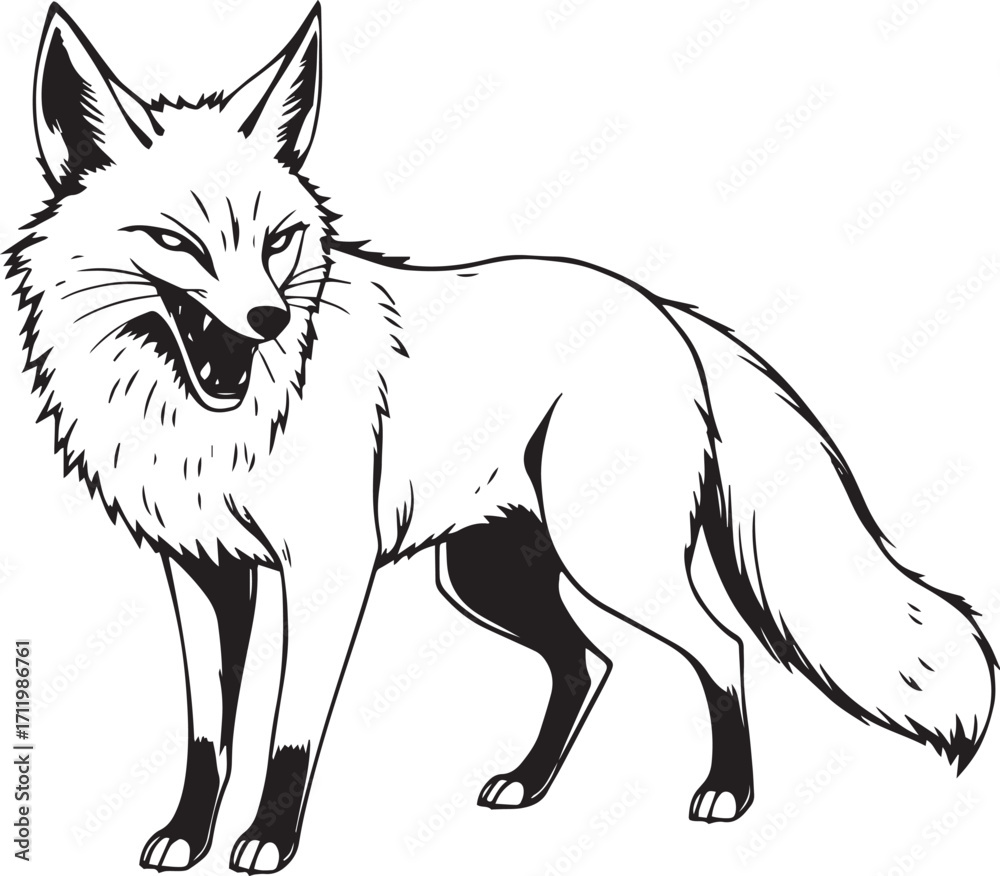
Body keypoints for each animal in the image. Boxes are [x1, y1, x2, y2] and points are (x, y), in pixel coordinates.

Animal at [6, 3, 996, 873]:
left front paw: (269, 843)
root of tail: (662, 307)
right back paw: (529, 784)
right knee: (585, 662)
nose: (270, 318)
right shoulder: (203, 572)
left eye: (279, 241)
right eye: (178, 243)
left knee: (721, 648)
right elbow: (208, 732)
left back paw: (728, 793)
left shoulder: (326, 572)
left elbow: (289, 734)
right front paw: (186, 836)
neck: (205, 427)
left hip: (608, 563)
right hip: (487, 573)